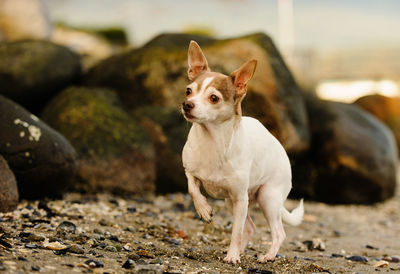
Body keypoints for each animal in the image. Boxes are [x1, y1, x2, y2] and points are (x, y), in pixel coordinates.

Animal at [182, 40, 304, 264]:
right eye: (188, 91)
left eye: (214, 98)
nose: (187, 104)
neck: (212, 139)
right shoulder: (190, 171)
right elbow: (192, 188)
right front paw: (204, 209)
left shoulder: (240, 199)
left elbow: (235, 231)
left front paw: (232, 256)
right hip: (233, 202)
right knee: (250, 228)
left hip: (267, 197)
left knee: (277, 232)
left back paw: (267, 255)